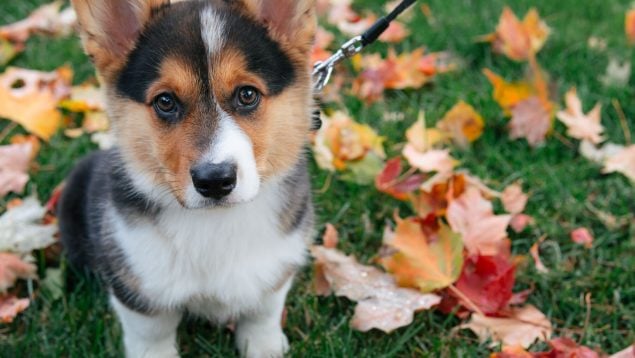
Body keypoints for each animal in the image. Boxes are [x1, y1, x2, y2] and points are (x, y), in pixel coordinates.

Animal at [58, 1, 316, 356]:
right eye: (165, 101)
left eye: (247, 95)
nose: (215, 180)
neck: (215, 222)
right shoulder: (138, 288)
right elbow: (151, 334)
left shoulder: (278, 264)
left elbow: (263, 310)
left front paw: (264, 346)